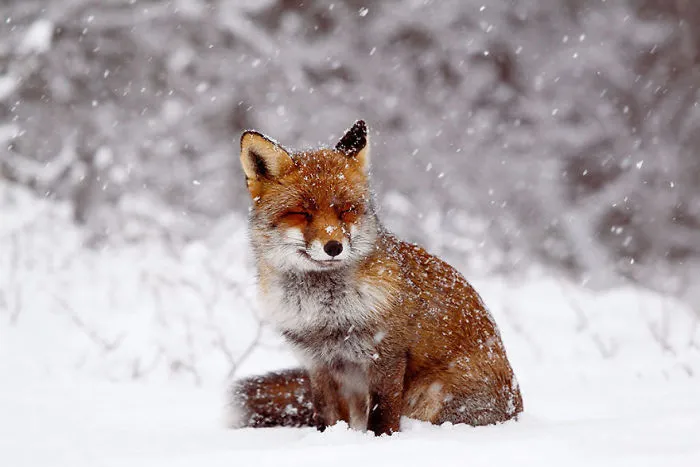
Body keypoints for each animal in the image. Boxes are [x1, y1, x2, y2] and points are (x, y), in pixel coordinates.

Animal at [228, 120, 523, 436]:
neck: (325, 314)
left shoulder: (386, 356)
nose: (334, 247)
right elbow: (327, 417)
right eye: (302, 213)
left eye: (346, 210)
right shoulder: (318, 364)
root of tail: (517, 412)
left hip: (433, 395)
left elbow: (382, 416)